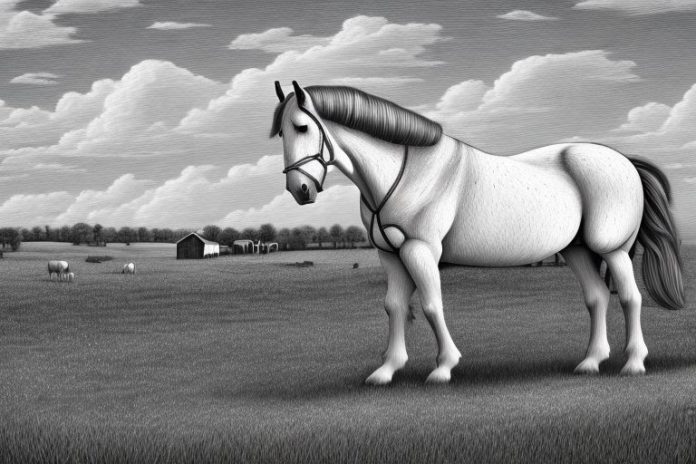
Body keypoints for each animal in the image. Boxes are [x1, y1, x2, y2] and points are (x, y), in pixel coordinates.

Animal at [271, 81, 685, 384]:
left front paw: (443, 367)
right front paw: (386, 370)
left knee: (630, 298)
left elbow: (431, 304)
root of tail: (623, 160)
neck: (407, 171)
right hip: (577, 249)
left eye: (302, 127)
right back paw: (590, 362)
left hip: (612, 250)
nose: (300, 190)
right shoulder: (391, 255)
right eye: (281, 133)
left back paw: (633, 364)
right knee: (597, 297)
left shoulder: (420, 250)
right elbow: (394, 307)